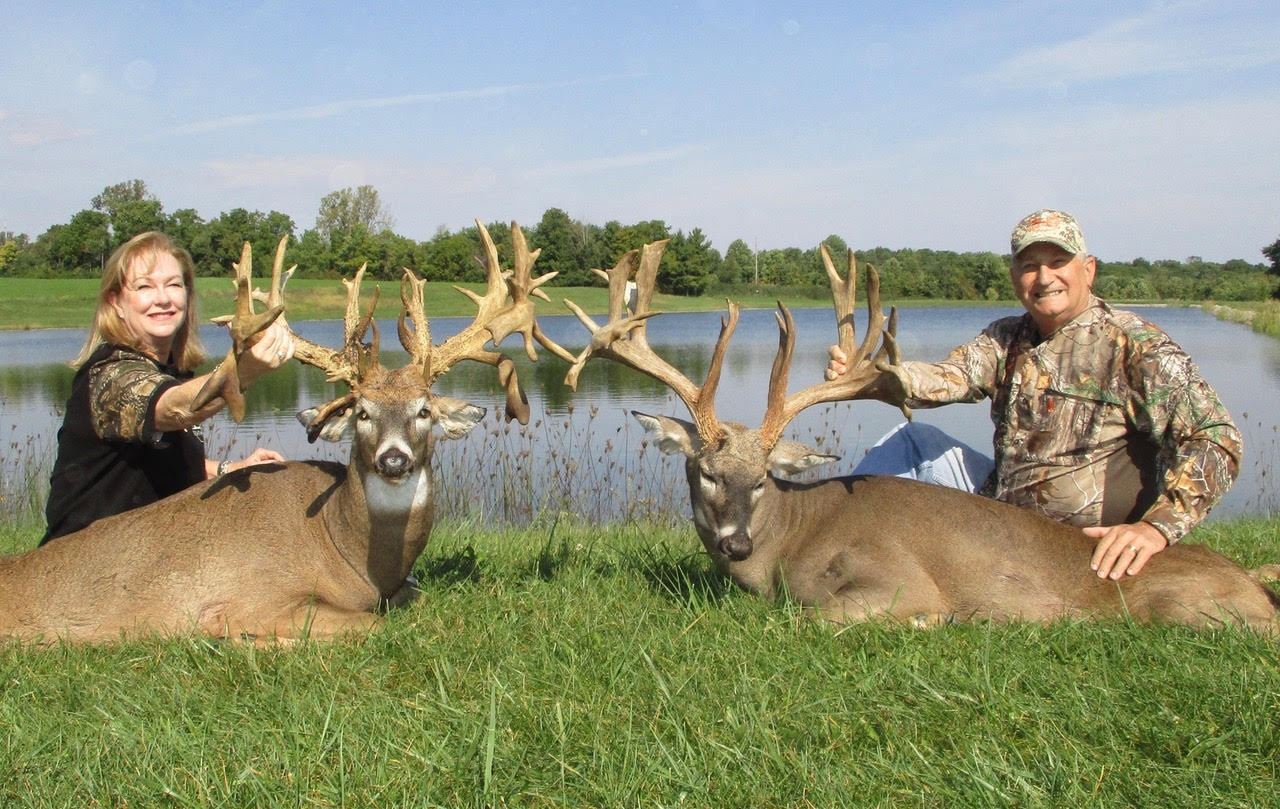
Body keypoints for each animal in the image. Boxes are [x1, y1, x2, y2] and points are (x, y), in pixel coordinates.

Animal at [0, 221, 571, 643]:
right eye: (362, 412)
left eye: (424, 411)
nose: (393, 460)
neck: (347, 551)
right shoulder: (255, 599)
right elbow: (367, 625)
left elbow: (413, 596)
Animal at [560, 240, 1280, 634]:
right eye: (707, 471)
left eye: (761, 477)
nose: (736, 543)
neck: (790, 541)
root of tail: (1249, 581)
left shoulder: (894, 577)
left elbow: (816, 616)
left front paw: (935, 619)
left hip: (1187, 609)